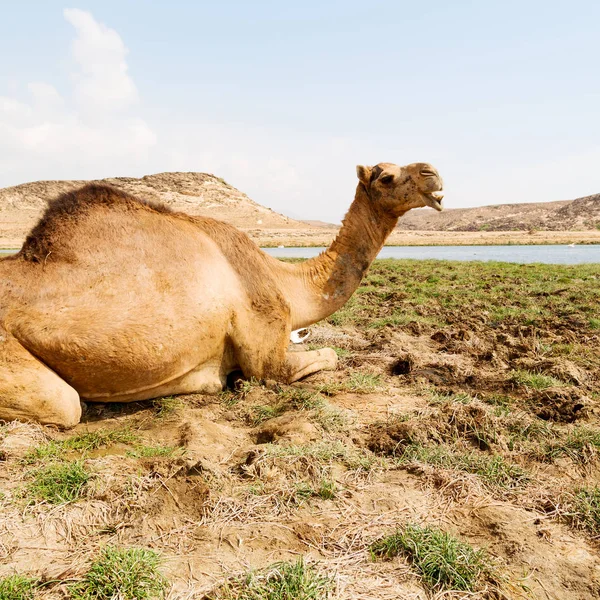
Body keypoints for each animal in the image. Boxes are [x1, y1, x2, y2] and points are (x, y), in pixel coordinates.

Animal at [0, 162, 440, 428]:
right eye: (386, 177)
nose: (432, 173)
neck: (281, 279)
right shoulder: (266, 353)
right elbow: (323, 357)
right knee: (64, 403)